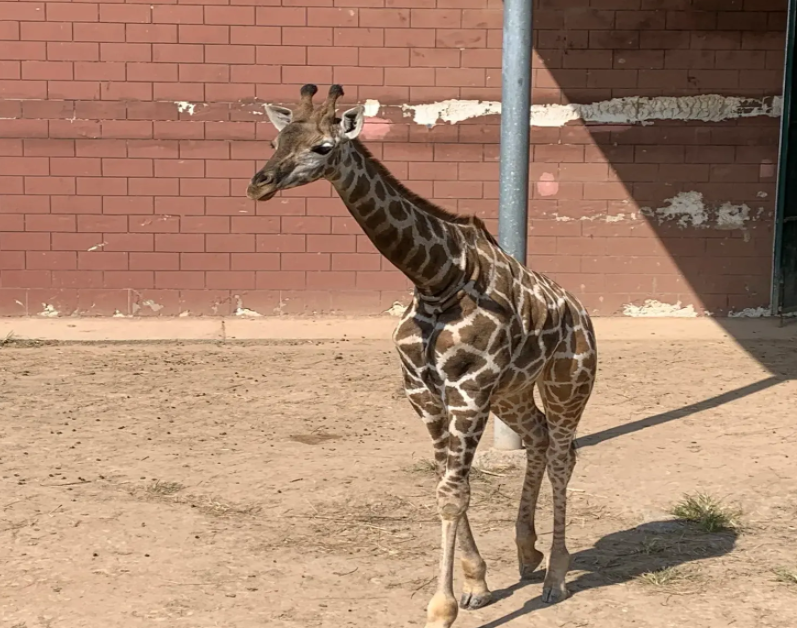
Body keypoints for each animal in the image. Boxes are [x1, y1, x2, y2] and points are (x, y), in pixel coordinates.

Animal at [246, 84, 592, 628]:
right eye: (277, 140)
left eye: (323, 147)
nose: (259, 185)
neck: (436, 279)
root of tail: (581, 311)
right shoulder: (424, 392)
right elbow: (445, 479)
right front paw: (476, 584)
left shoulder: (468, 391)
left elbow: (453, 493)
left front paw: (442, 607)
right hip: (513, 391)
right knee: (538, 439)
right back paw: (528, 552)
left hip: (568, 382)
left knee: (563, 454)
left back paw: (556, 576)